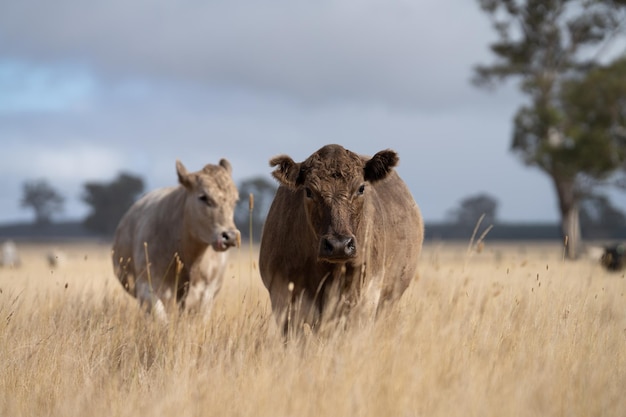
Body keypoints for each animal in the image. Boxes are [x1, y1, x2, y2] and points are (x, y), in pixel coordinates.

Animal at [112, 158, 239, 320]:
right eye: (203, 197)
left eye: (235, 200)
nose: (230, 236)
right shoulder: (147, 287)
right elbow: (161, 318)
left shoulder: (206, 293)